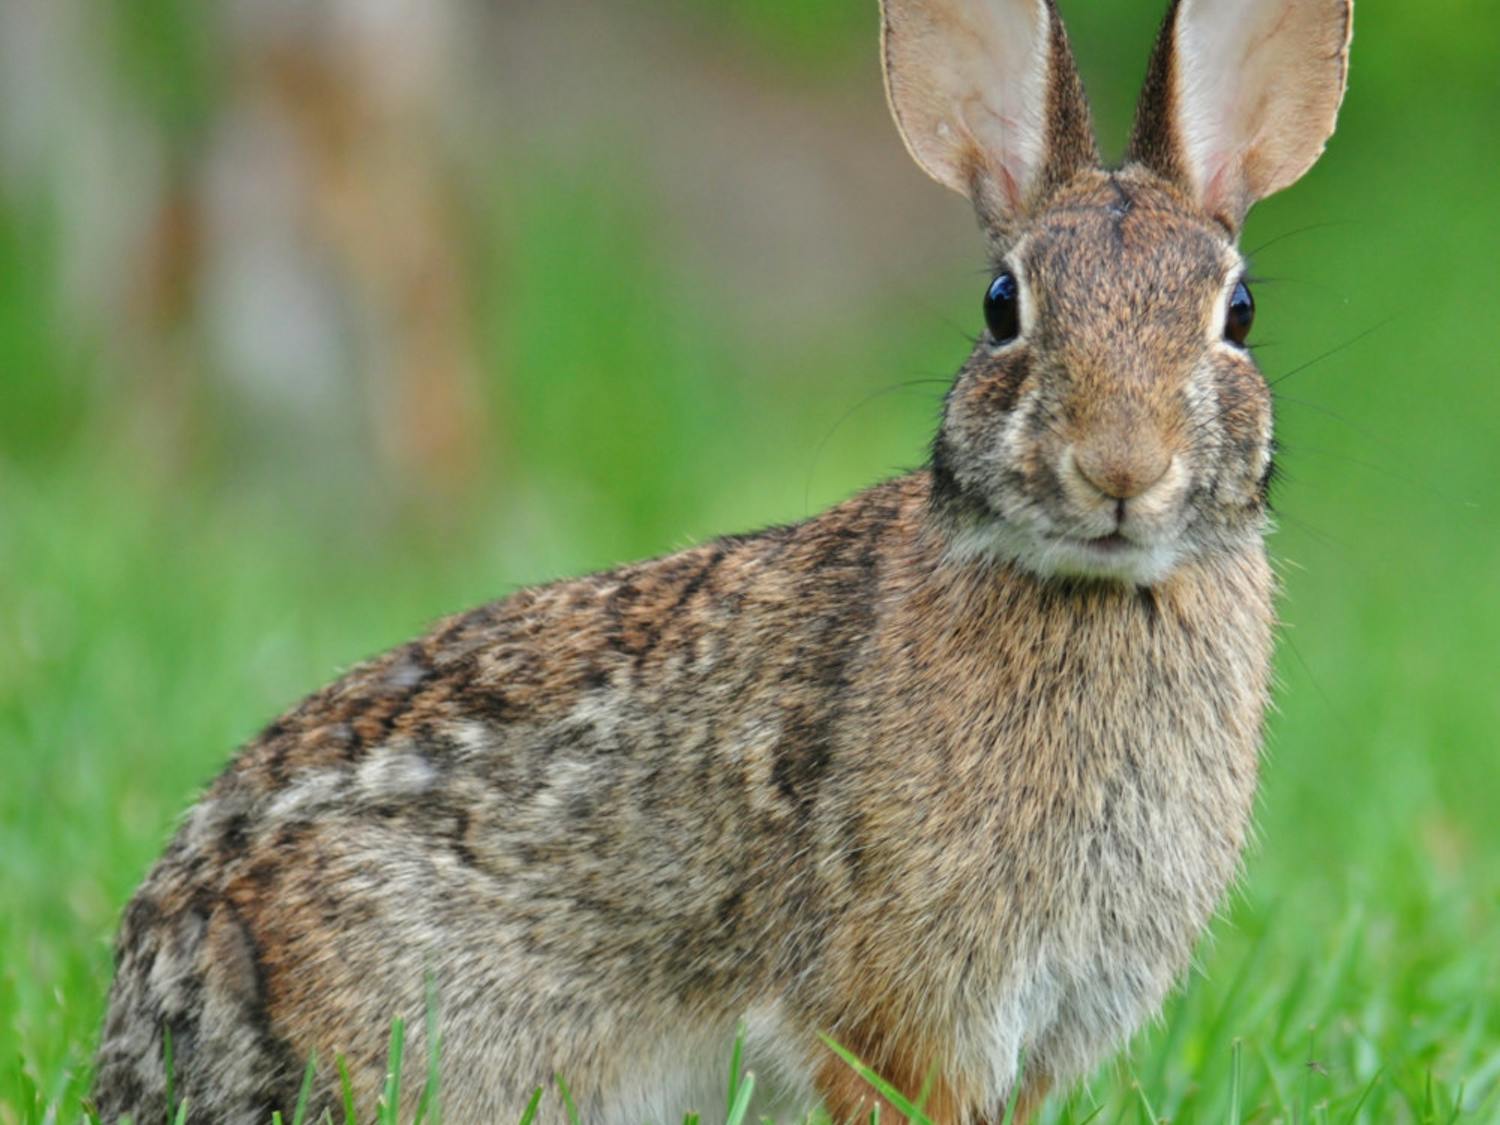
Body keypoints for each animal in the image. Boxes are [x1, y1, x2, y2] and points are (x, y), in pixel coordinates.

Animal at [90, 0, 1353, 1122]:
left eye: (1237, 313)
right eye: (1003, 306)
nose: (1122, 468)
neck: (1096, 591)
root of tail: (162, 1000)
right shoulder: (894, 1009)